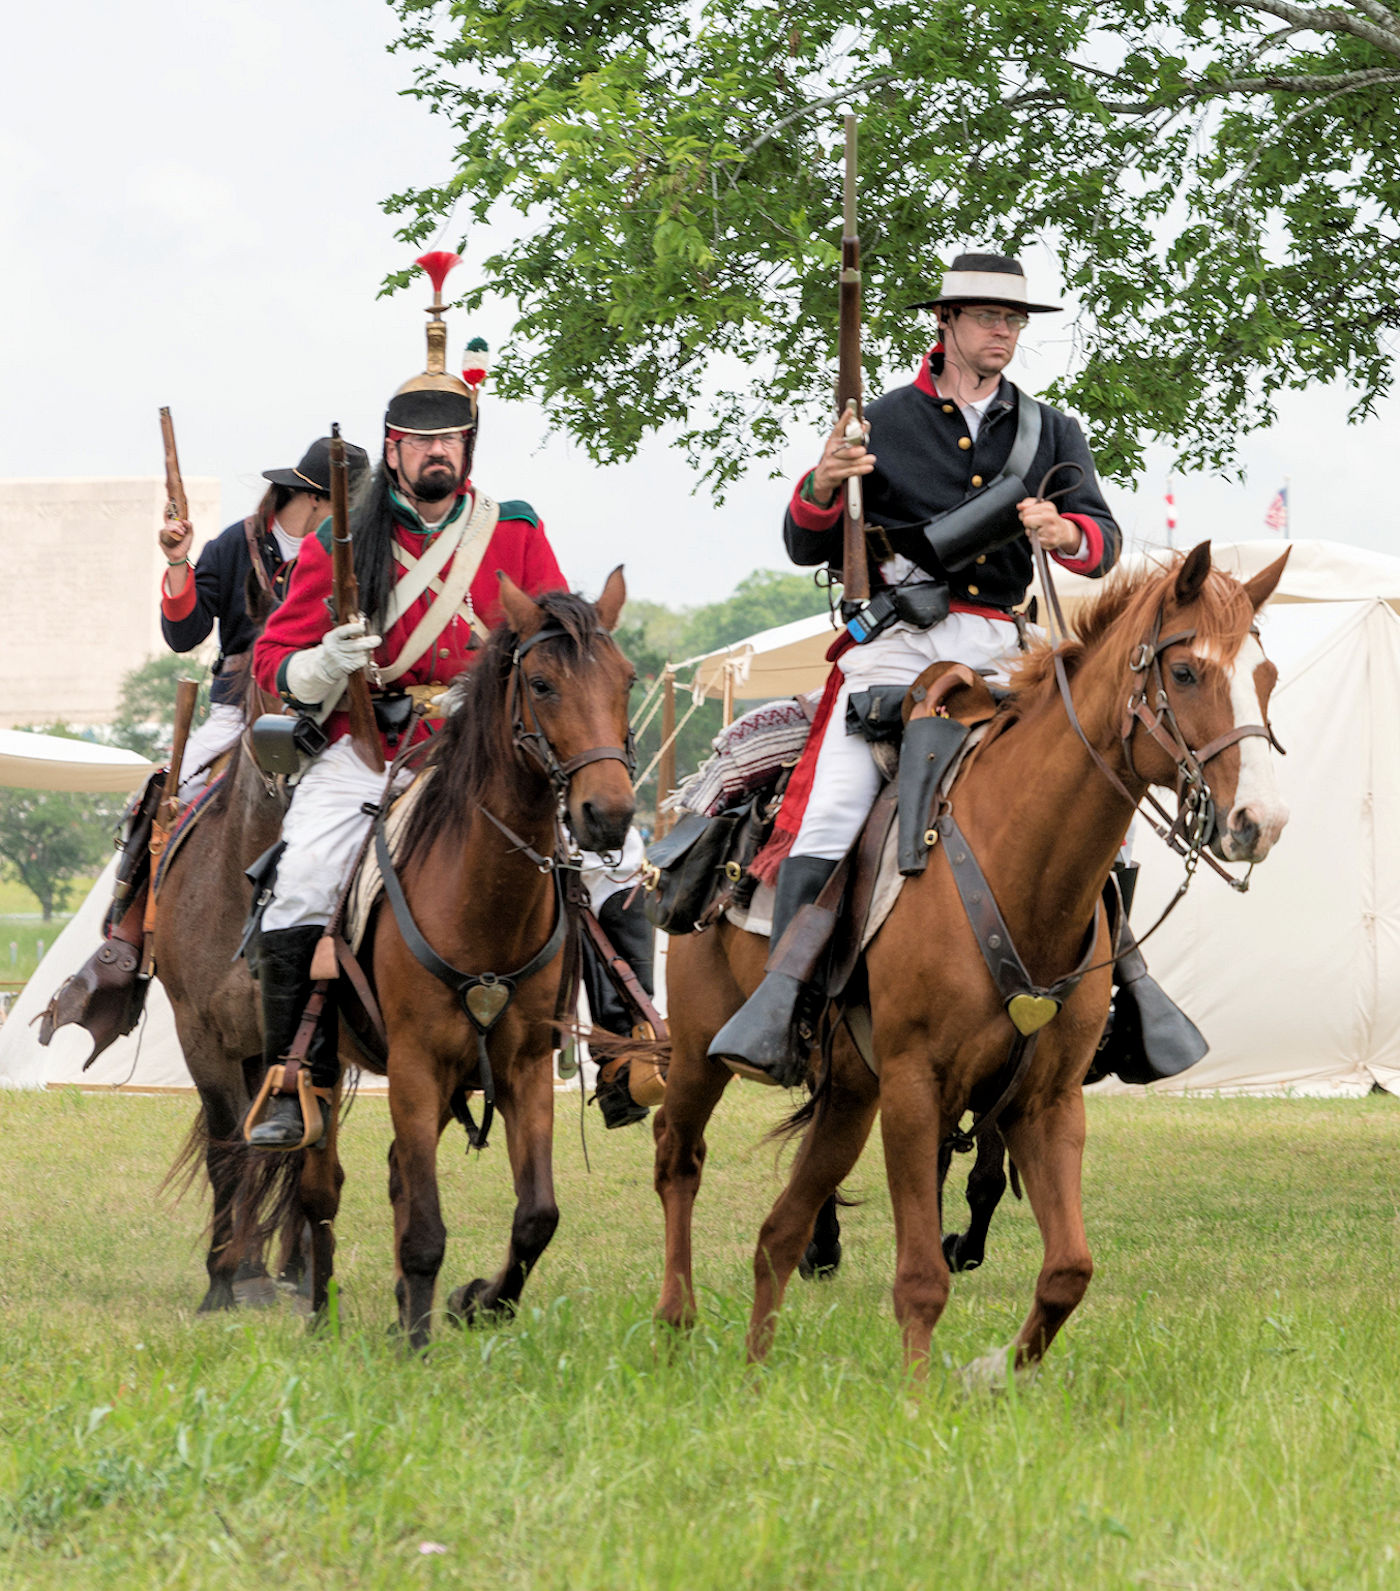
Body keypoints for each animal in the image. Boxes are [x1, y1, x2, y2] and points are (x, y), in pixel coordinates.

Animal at [240, 572, 633, 1342]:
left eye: (626, 679)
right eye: (541, 683)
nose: (610, 815)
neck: (484, 903)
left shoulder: (523, 1067)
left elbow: (537, 1215)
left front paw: (475, 1301)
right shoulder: (416, 1064)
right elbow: (424, 1226)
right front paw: (418, 1344)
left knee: (393, 1170)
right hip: (323, 1074)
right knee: (321, 1188)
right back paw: (323, 1314)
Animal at [655, 540, 1291, 1374]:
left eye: (1266, 677)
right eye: (1185, 672)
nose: (1260, 821)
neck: (1014, 862)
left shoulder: (1043, 1100)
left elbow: (1067, 1269)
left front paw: (994, 1374)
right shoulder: (915, 1087)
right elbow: (922, 1276)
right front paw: (920, 1393)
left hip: (849, 1097)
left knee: (778, 1233)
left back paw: (759, 1368)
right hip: (704, 1049)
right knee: (679, 1159)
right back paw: (677, 1317)